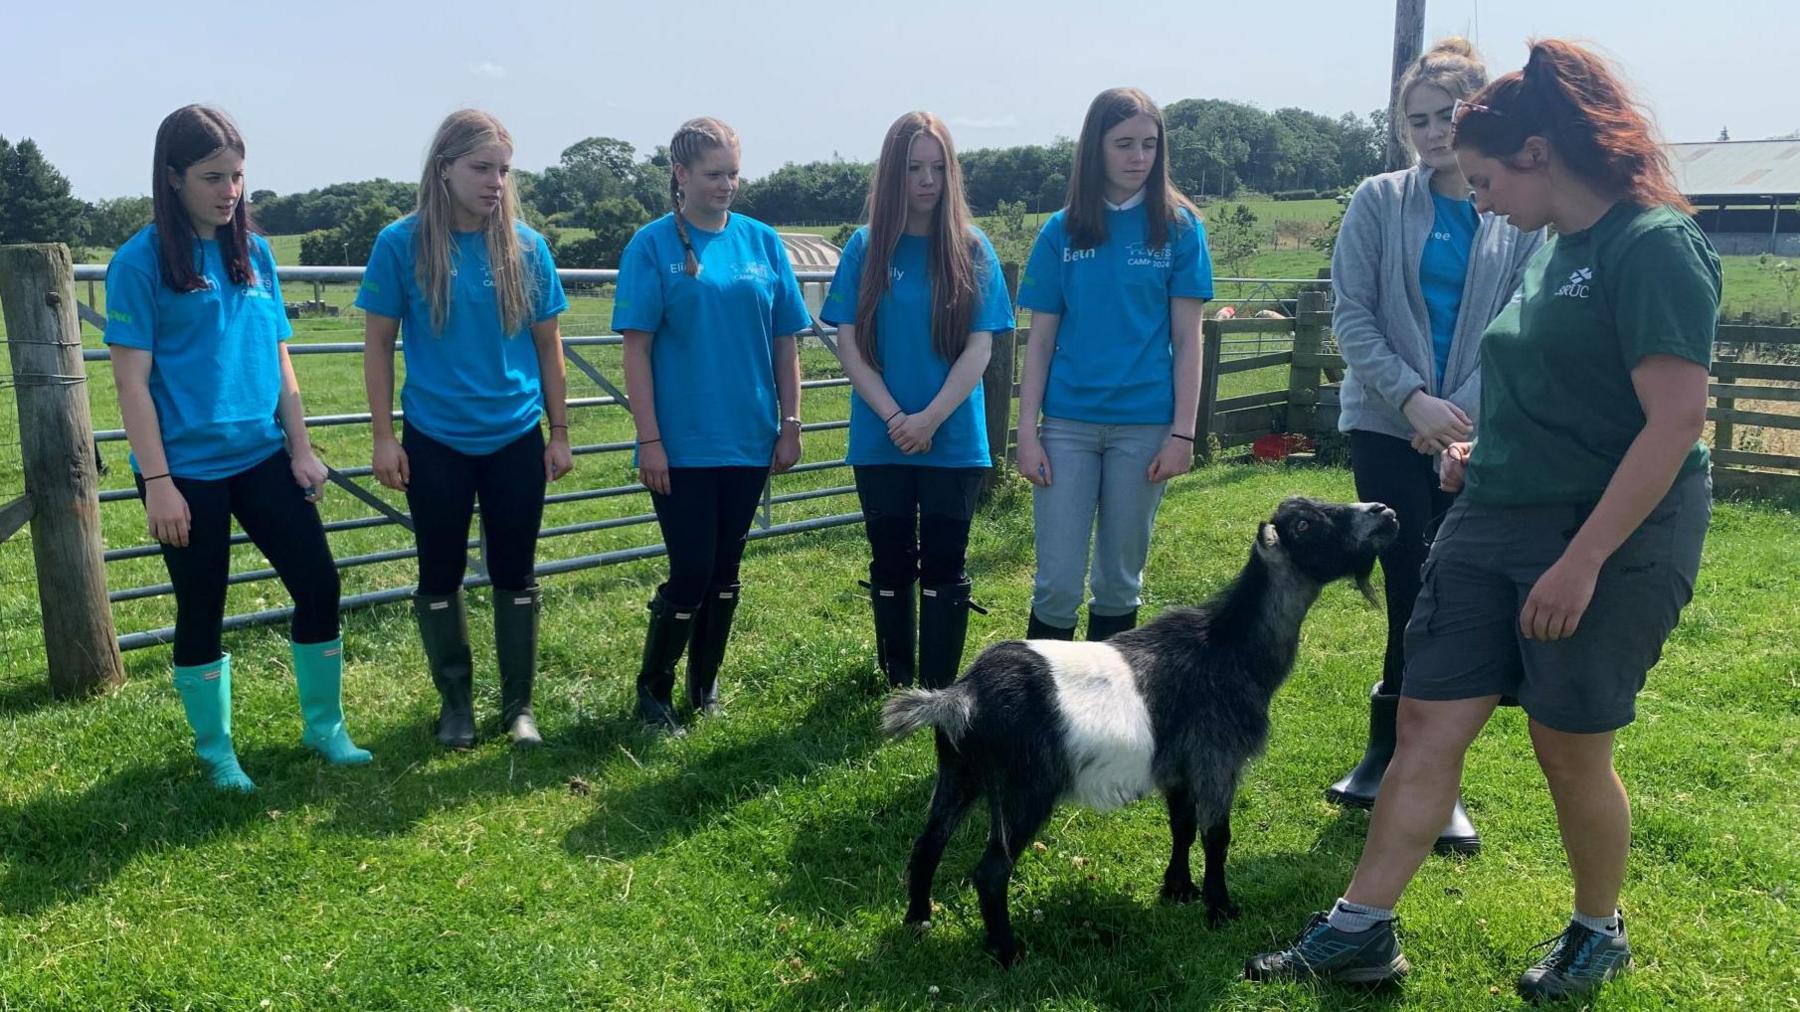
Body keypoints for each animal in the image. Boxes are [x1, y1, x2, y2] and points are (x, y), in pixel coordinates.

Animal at [878, 496, 1396, 957]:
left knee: (926, 845)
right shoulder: (1216, 758)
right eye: (1305, 524)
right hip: (1026, 787)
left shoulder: (1179, 768)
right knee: (990, 872)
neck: (1229, 648)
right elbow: (1216, 835)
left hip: (960, 773)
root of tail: (961, 697)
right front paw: (1220, 908)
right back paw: (1008, 951)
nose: (1383, 512)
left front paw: (1178, 890)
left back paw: (918, 920)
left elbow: (1182, 826)